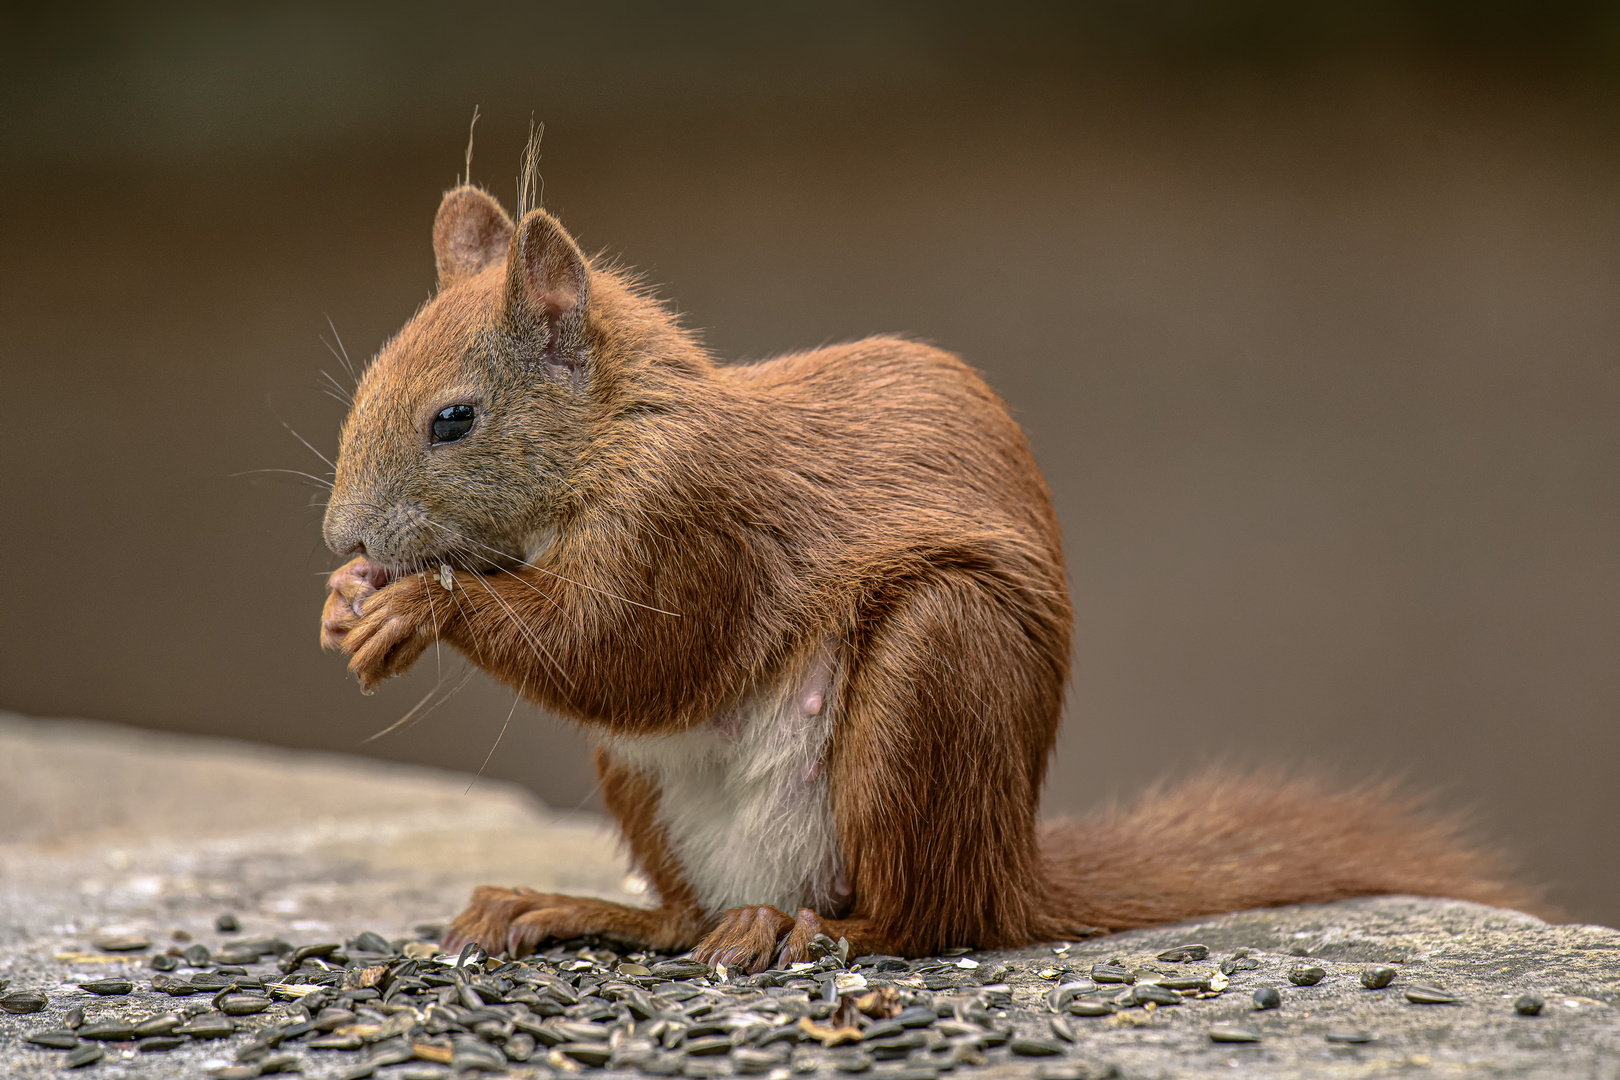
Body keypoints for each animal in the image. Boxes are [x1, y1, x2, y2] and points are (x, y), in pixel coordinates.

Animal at [315, 181, 1529, 965]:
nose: (340, 540)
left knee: (920, 921)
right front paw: (345, 608)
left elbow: (623, 653)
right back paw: (565, 909)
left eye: (454, 419)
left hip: (934, 677)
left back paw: (807, 928)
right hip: (652, 791)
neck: (614, 435)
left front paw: (410, 607)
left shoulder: (691, 522)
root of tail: (1009, 864)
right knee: (686, 921)